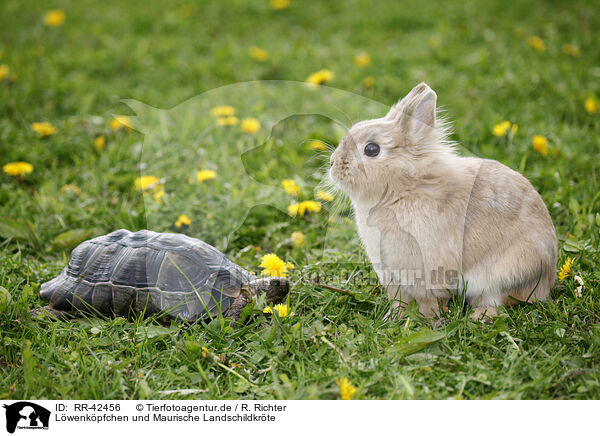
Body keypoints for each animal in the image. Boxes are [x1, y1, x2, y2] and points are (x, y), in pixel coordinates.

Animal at [328, 82, 556, 320]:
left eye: (371, 149)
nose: (333, 163)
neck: (403, 190)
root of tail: (547, 280)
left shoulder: (426, 271)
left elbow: (430, 300)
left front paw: (428, 318)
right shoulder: (390, 273)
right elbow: (399, 299)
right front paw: (393, 317)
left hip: (501, 275)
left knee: (494, 301)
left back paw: (477, 316)